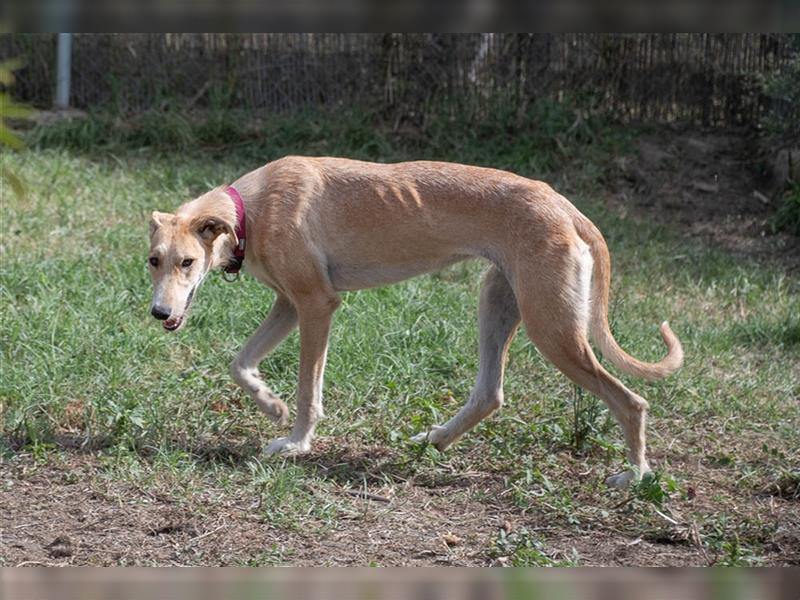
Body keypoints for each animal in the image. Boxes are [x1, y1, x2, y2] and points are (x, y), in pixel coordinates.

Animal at [148, 156, 680, 488]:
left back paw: (636, 475)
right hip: (498, 303)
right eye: (154, 261)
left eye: (188, 262)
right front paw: (271, 406)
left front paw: (297, 442)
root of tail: (564, 206)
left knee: (631, 402)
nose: (160, 313)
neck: (251, 209)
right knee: (489, 394)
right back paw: (436, 439)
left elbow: (307, 390)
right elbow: (240, 364)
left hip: (552, 331)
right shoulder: (288, 305)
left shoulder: (317, 305)